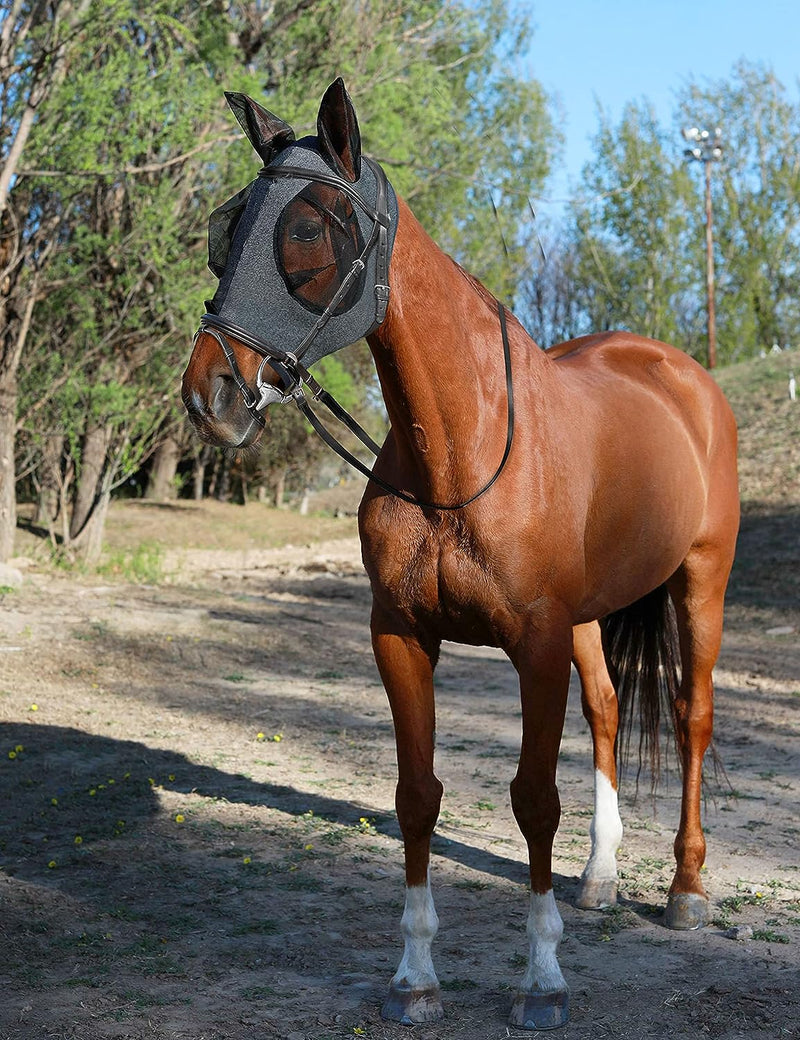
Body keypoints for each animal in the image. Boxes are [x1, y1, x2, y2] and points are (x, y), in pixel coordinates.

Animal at [178, 76, 736, 1027]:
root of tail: (682, 374)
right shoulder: (403, 636)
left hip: (701, 581)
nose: (209, 390)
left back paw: (685, 890)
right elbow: (417, 798)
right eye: (230, 226)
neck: (459, 450)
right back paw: (601, 876)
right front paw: (416, 978)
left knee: (691, 718)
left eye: (307, 229)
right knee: (607, 711)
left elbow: (534, 799)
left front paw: (542, 981)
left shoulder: (536, 646)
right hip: (590, 619)